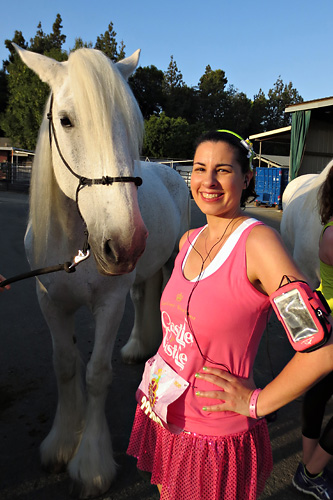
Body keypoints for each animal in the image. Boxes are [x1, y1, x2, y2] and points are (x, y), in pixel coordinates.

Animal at [13, 45, 189, 498]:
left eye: (132, 123)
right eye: (66, 120)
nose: (125, 243)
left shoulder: (108, 303)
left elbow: (96, 374)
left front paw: (90, 463)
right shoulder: (49, 302)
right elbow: (65, 364)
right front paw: (61, 443)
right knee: (142, 295)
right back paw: (137, 345)